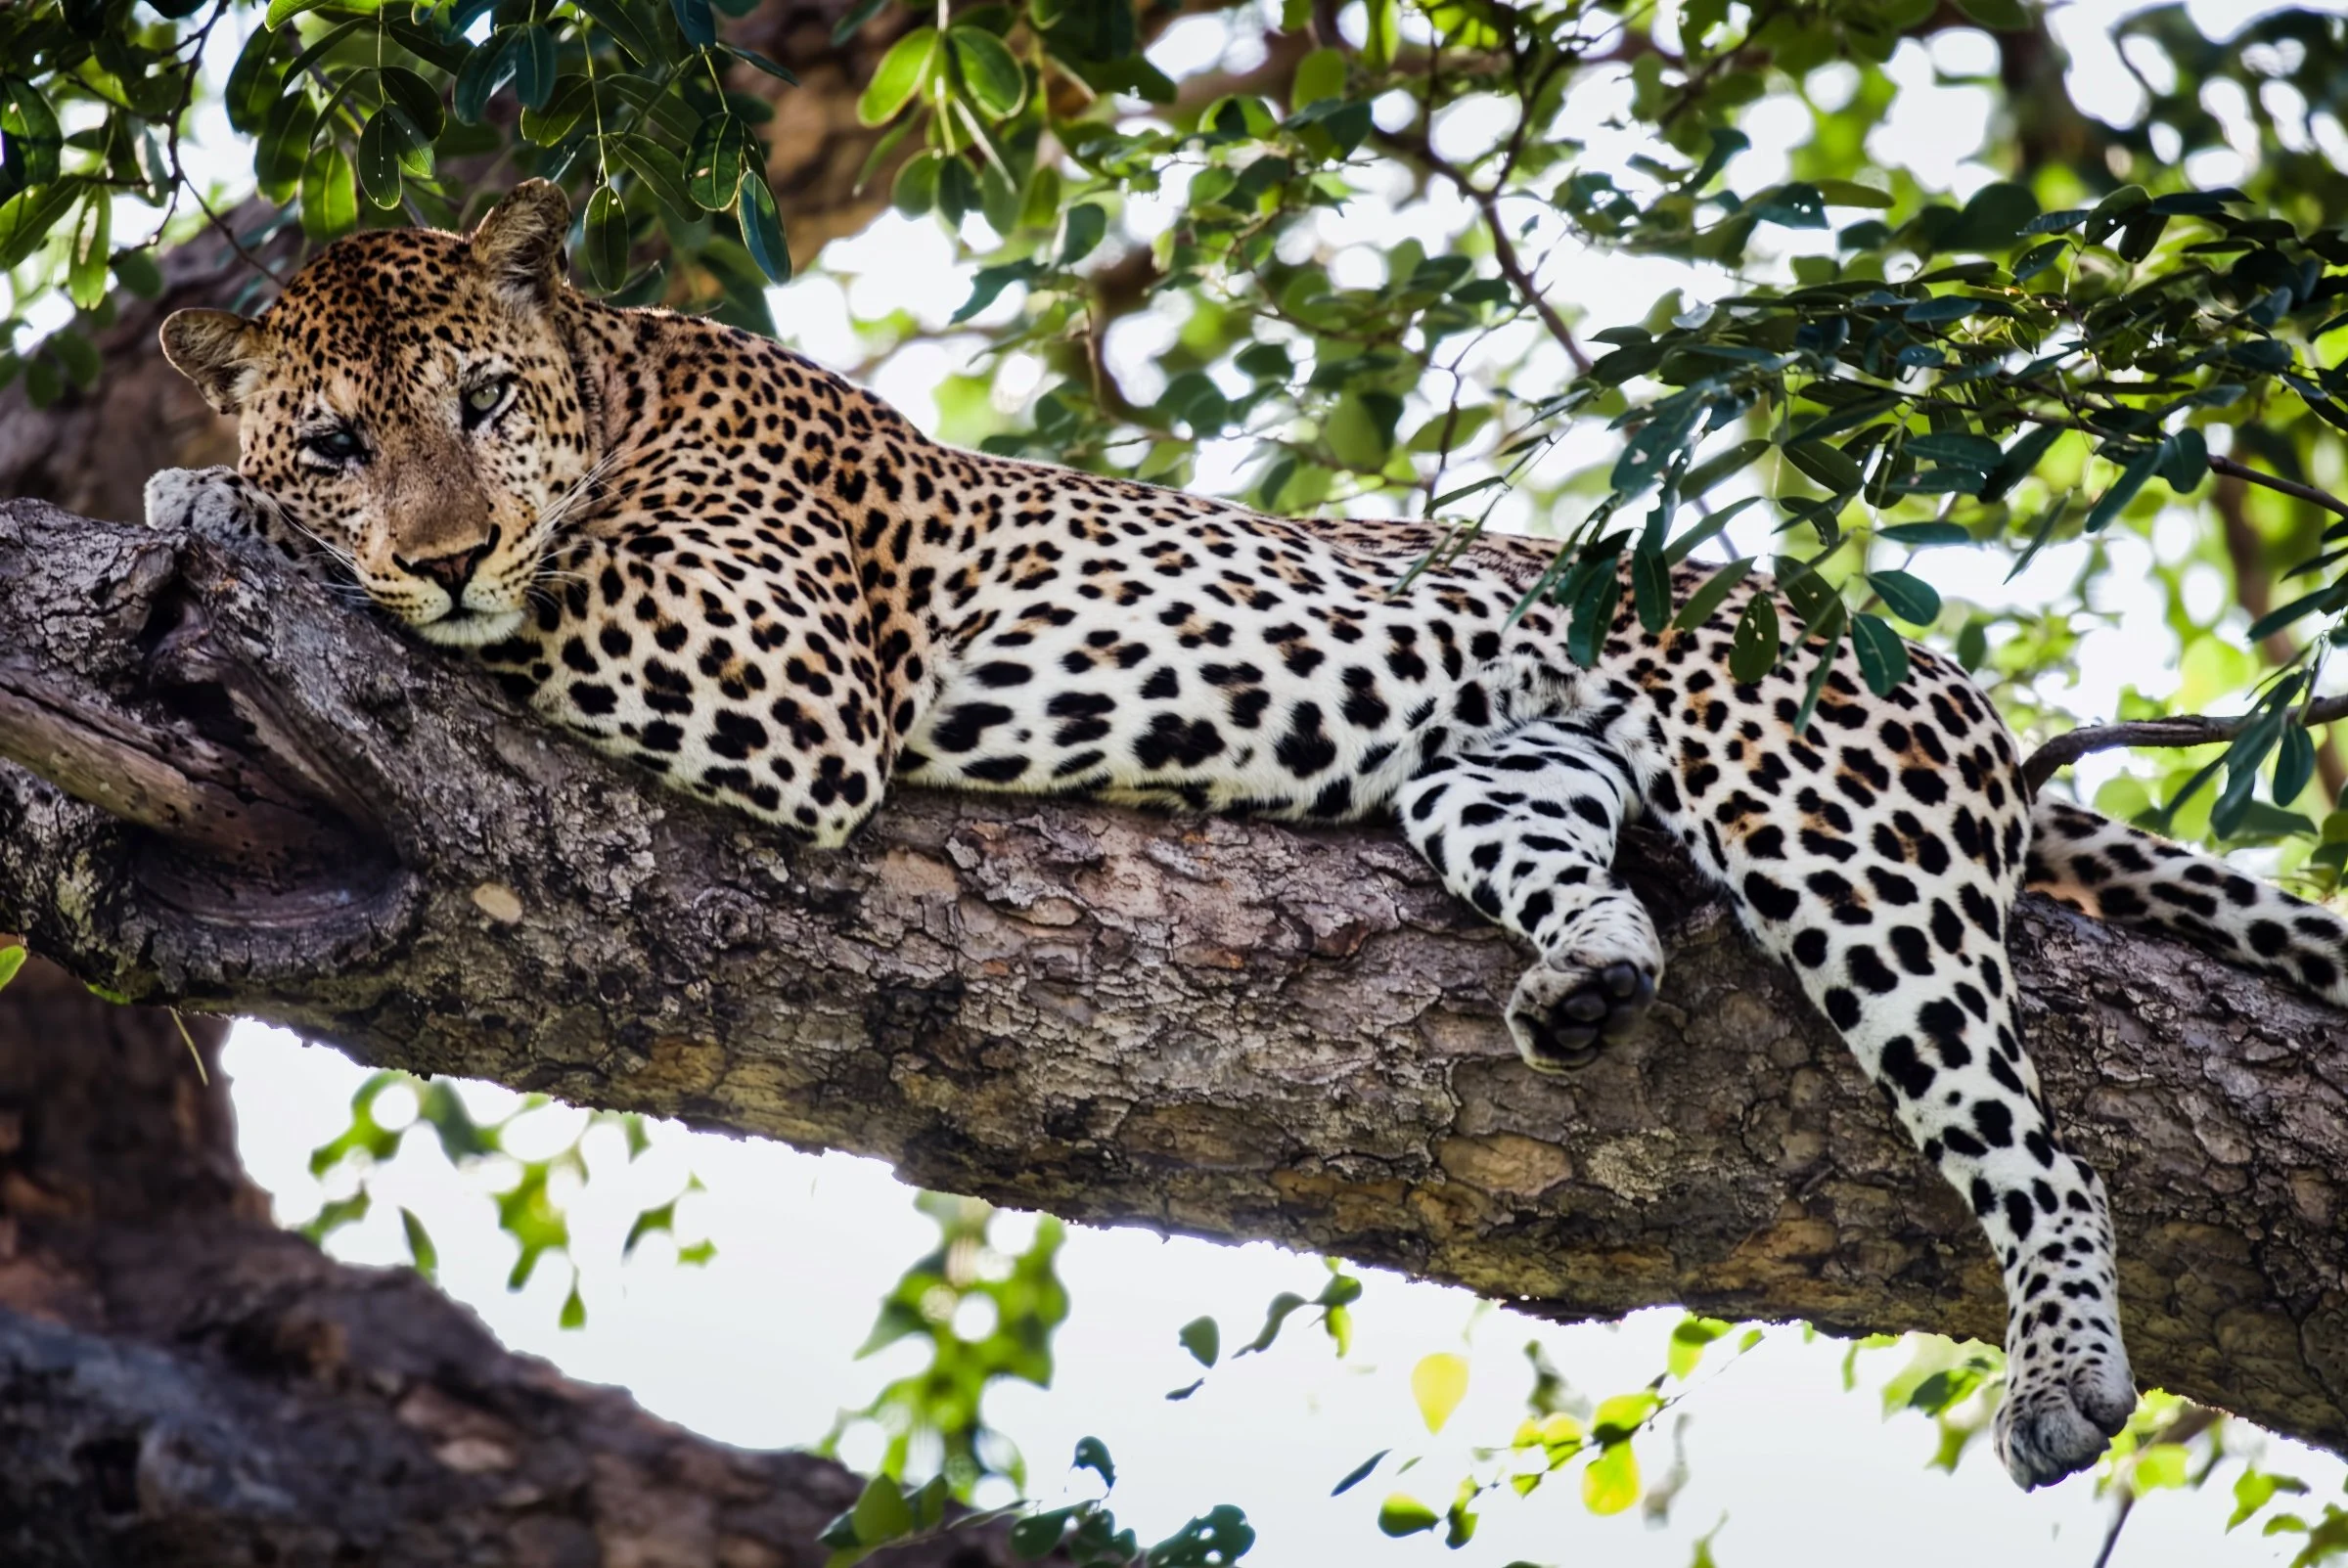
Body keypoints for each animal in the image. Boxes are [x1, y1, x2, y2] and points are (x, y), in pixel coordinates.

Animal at [149, 180, 2348, 1491]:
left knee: (2031, 1137)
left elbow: (540, 593)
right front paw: (253, 508)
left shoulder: (781, 671)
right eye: (343, 432)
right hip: (1498, 769)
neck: (620, 381)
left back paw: (2061, 1369)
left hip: (1829, 816)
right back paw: (1580, 978)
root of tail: (1921, 656)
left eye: (482, 398)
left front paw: (208, 504)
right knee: (1600, 886)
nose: (439, 543)